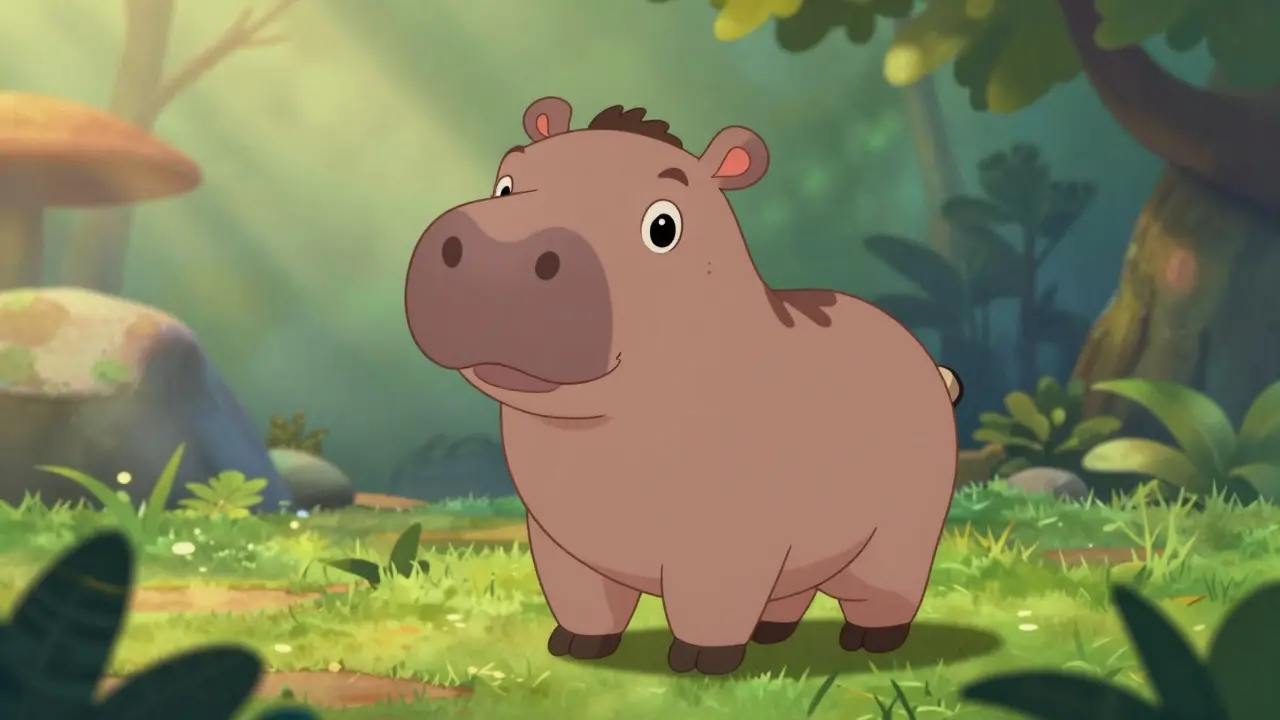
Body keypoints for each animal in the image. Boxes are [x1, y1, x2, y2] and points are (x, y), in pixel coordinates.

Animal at [405, 97, 963, 676]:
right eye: (505, 184)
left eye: (663, 226)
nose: (499, 248)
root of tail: (931, 366)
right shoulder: (559, 541)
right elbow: (583, 601)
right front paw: (575, 647)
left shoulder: (732, 540)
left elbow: (710, 604)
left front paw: (700, 662)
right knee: (795, 589)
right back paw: (771, 633)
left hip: (903, 530)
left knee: (883, 588)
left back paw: (869, 642)